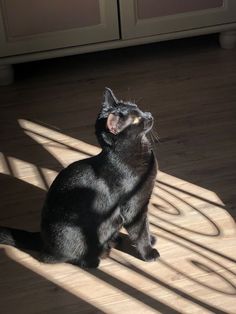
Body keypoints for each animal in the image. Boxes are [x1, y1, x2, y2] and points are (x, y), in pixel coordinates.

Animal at [0, 87, 159, 268]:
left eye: (138, 108)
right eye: (136, 119)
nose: (149, 114)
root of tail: (41, 238)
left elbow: (146, 225)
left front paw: (151, 238)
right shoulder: (134, 206)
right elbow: (140, 231)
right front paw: (148, 252)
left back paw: (114, 240)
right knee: (52, 258)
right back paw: (95, 257)